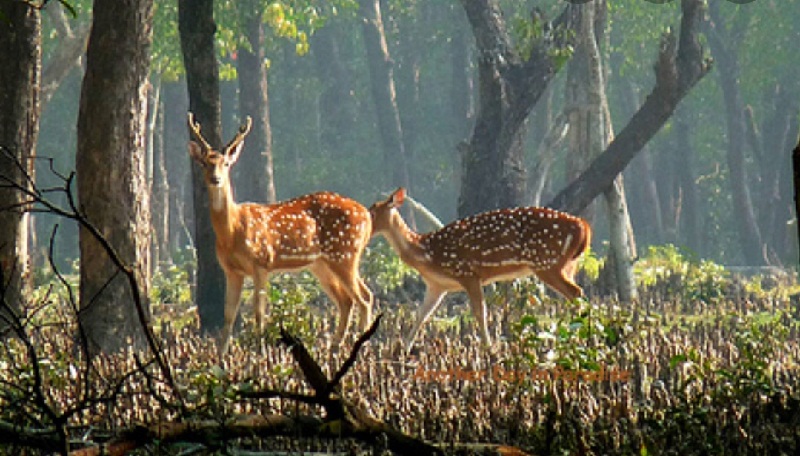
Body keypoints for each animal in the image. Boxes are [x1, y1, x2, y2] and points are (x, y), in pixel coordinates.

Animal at [187, 113, 373, 355]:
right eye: (204, 164)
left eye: (226, 163)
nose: (215, 179)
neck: (232, 231)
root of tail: (367, 216)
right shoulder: (231, 270)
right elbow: (228, 316)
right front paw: (220, 357)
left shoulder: (261, 262)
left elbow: (258, 312)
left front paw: (261, 351)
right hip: (322, 263)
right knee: (347, 300)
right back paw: (335, 347)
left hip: (345, 253)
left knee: (364, 298)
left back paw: (360, 347)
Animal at [369, 188, 591, 350]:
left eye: (372, 210)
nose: (364, 225)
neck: (427, 255)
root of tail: (583, 227)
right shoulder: (437, 285)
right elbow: (421, 315)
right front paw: (404, 350)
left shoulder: (468, 273)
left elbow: (480, 312)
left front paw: (488, 348)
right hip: (567, 265)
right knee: (577, 293)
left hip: (547, 263)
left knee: (576, 293)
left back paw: (579, 338)